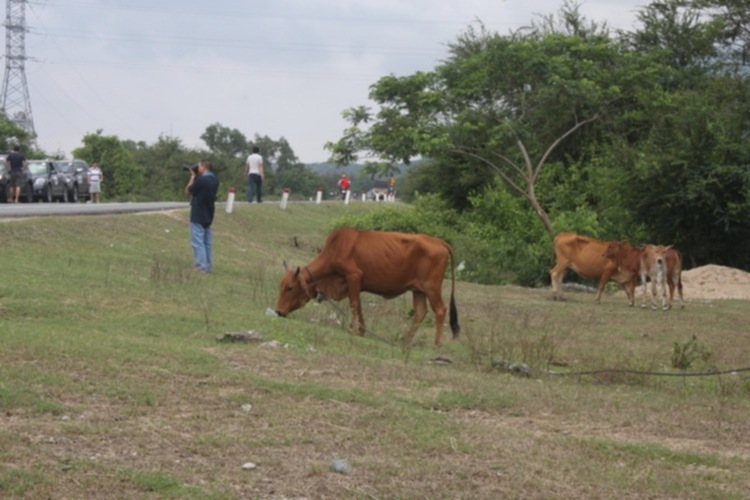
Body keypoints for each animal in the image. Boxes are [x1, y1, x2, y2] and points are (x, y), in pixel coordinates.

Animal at [276, 229, 462, 346]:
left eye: (290, 288)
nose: (278, 311)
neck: (337, 248)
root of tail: (438, 241)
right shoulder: (355, 284)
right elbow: (358, 306)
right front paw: (361, 330)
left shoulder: (354, 277)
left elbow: (353, 304)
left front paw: (352, 329)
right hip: (418, 290)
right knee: (420, 312)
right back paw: (406, 341)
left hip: (432, 288)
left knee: (440, 310)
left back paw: (437, 343)